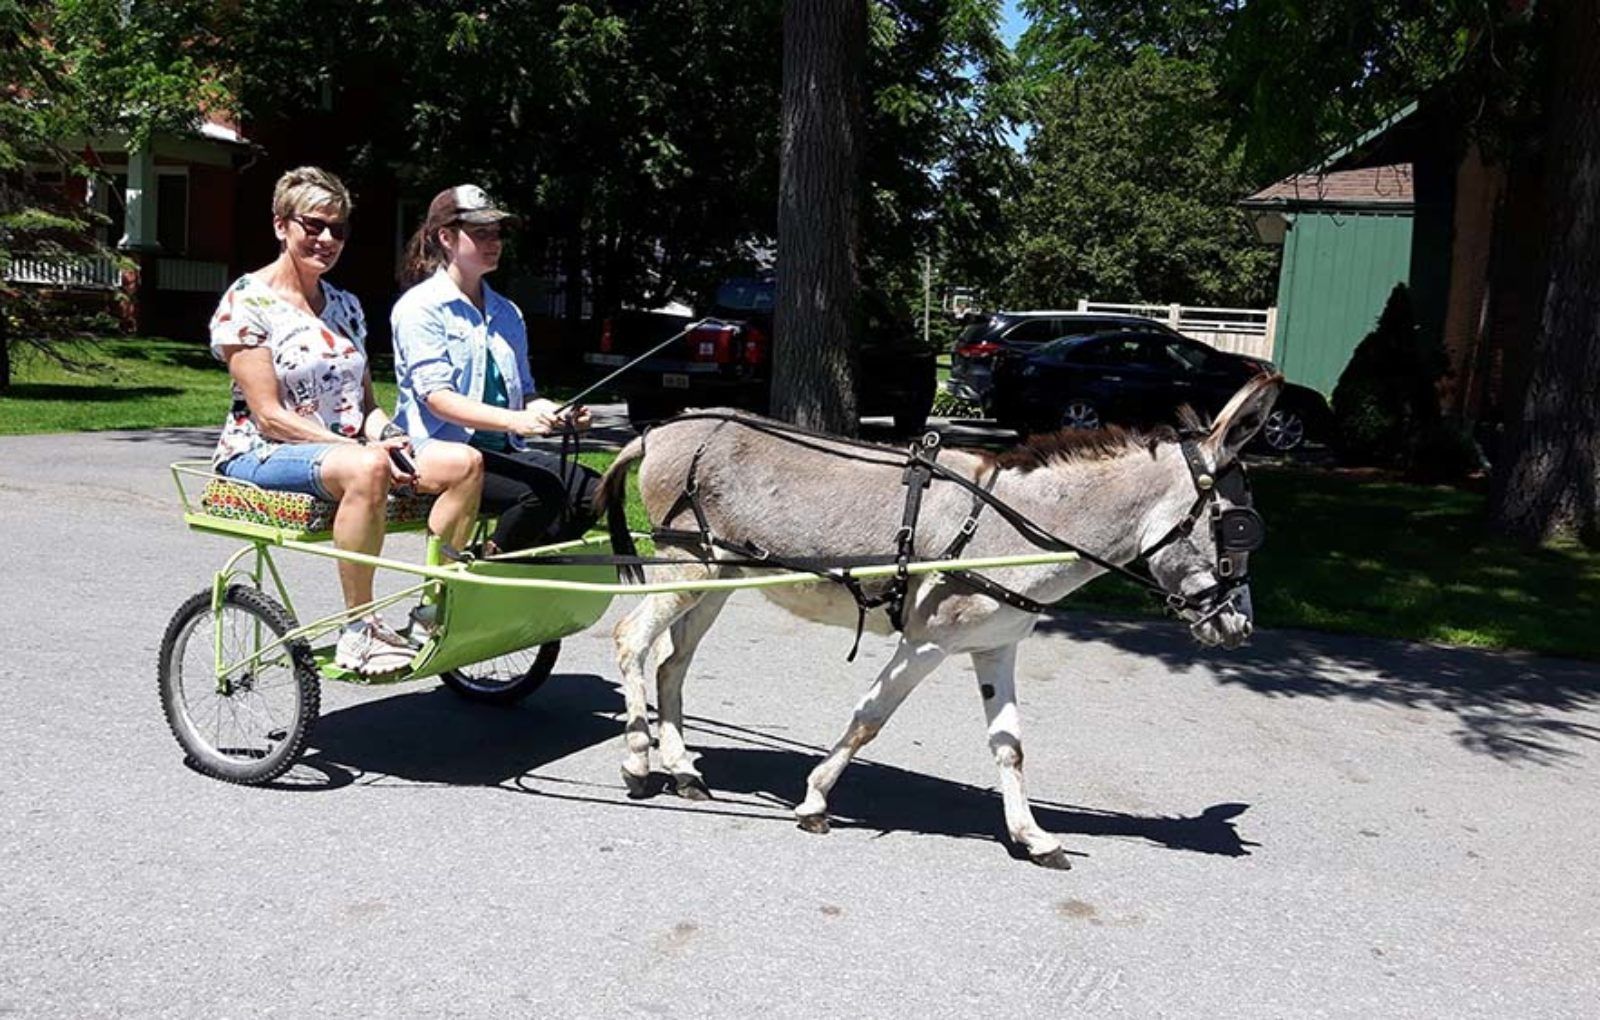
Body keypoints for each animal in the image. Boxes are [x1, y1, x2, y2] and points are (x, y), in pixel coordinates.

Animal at [593, 374, 1281, 868]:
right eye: (1240, 525)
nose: (1239, 628)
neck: (1014, 529)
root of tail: (658, 432)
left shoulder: (995, 647)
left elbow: (1010, 747)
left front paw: (1033, 837)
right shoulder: (927, 642)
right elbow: (869, 719)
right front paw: (814, 800)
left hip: (717, 580)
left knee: (672, 663)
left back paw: (683, 771)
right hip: (687, 567)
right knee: (632, 641)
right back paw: (638, 763)